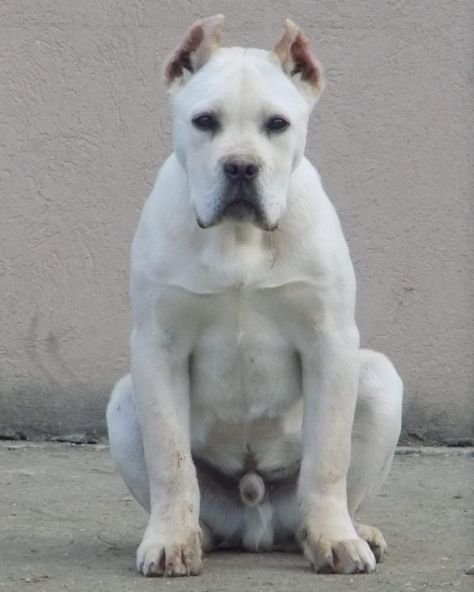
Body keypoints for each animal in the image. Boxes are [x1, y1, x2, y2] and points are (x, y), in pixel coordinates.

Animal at [107, 15, 404, 580]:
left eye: (277, 124)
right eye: (204, 121)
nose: (242, 167)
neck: (240, 237)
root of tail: (256, 521)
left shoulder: (330, 341)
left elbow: (328, 460)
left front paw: (336, 538)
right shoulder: (158, 347)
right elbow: (170, 461)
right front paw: (170, 542)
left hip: (379, 379)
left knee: (328, 493)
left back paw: (350, 532)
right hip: (125, 398)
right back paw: (191, 535)